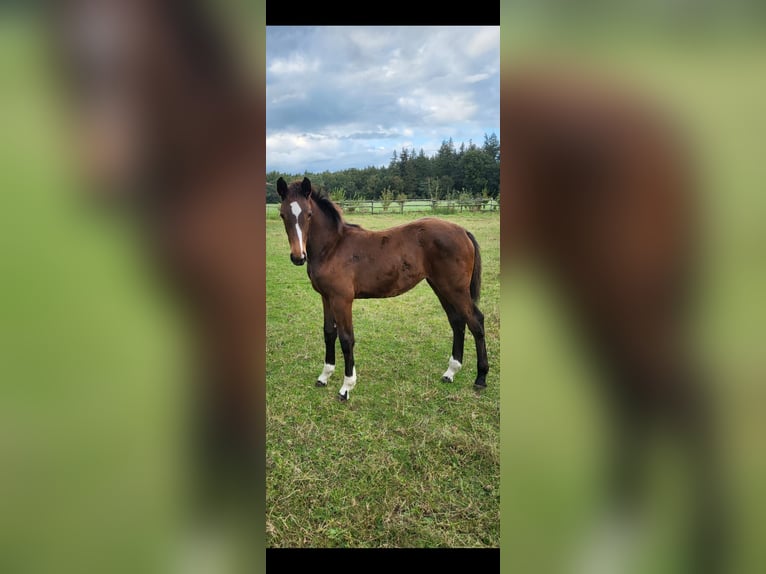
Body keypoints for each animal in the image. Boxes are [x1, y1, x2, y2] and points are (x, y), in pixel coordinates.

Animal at [278, 178, 492, 402]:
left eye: (309, 214)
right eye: (282, 214)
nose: (298, 257)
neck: (332, 248)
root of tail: (463, 231)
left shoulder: (342, 299)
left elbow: (346, 339)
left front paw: (346, 387)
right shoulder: (326, 297)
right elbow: (329, 333)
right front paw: (324, 377)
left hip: (456, 289)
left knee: (476, 321)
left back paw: (480, 378)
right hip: (441, 287)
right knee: (457, 321)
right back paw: (450, 372)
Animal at [508, 68, 728, 574]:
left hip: (623, 295)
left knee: (682, 398)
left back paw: (704, 550)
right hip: (596, 294)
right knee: (630, 395)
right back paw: (610, 546)